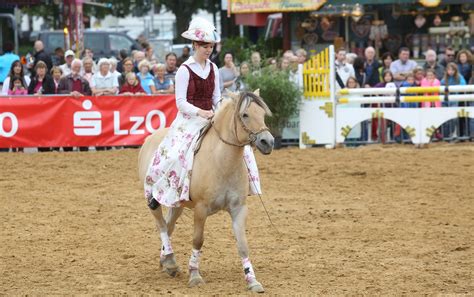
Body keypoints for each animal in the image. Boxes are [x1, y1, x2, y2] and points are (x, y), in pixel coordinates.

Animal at [138, 88, 274, 292]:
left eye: (263, 114)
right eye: (245, 114)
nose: (268, 142)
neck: (222, 161)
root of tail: (149, 138)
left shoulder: (239, 209)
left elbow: (243, 244)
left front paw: (252, 280)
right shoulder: (201, 209)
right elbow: (197, 240)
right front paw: (194, 275)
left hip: (177, 204)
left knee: (169, 226)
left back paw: (167, 261)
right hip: (151, 198)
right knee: (161, 225)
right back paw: (170, 261)